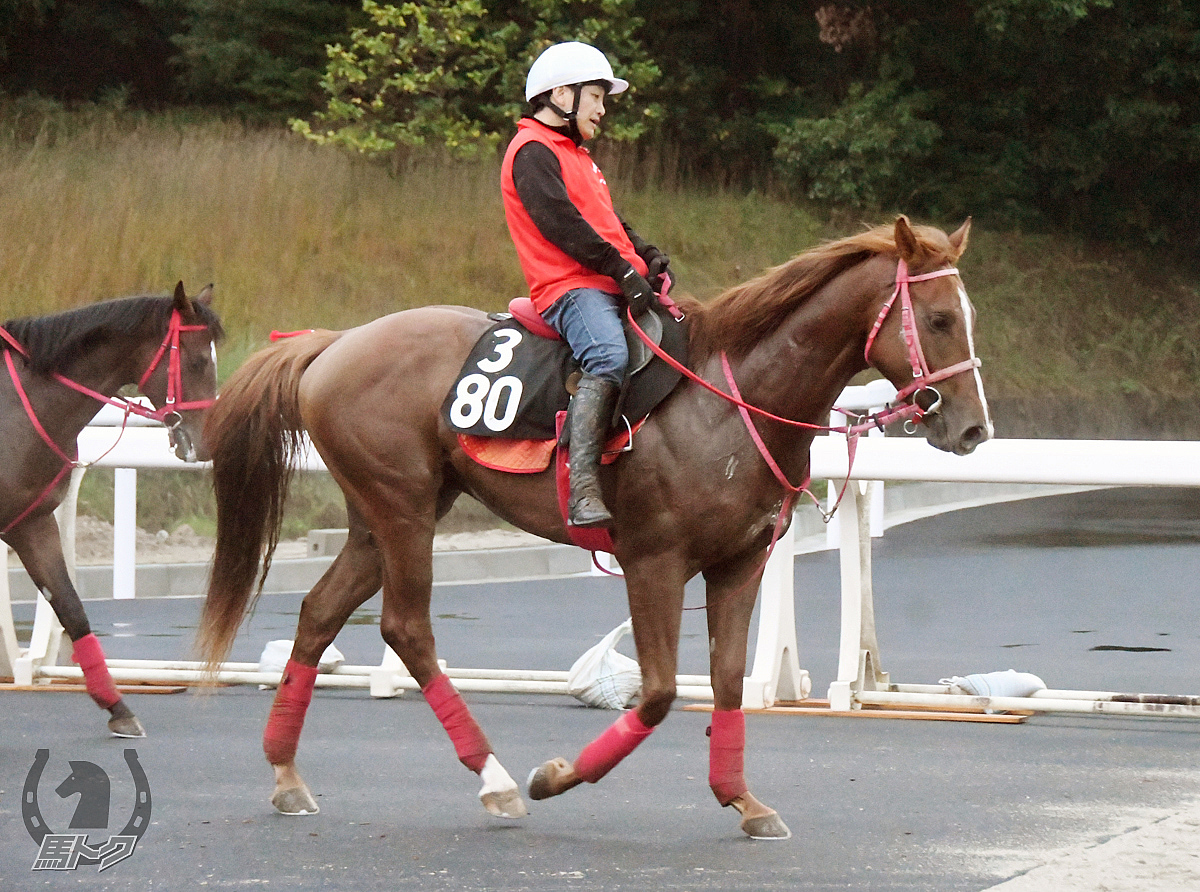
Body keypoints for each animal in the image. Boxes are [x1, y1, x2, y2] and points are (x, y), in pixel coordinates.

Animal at [2, 282, 223, 734]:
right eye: (196, 360)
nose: (208, 441)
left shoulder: (31, 523)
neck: (16, 406)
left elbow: (71, 608)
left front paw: (117, 707)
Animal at [199, 216, 993, 835]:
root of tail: (334, 343)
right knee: (407, 628)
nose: (973, 428)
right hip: (403, 512)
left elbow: (727, 681)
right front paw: (557, 776)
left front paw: (741, 798)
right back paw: (496, 780)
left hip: (378, 520)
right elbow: (661, 692)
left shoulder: (740, 563)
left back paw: (286, 773)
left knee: (318, 612)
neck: (731, 399)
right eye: (939, 319)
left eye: (967, 316)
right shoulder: (654, 562)